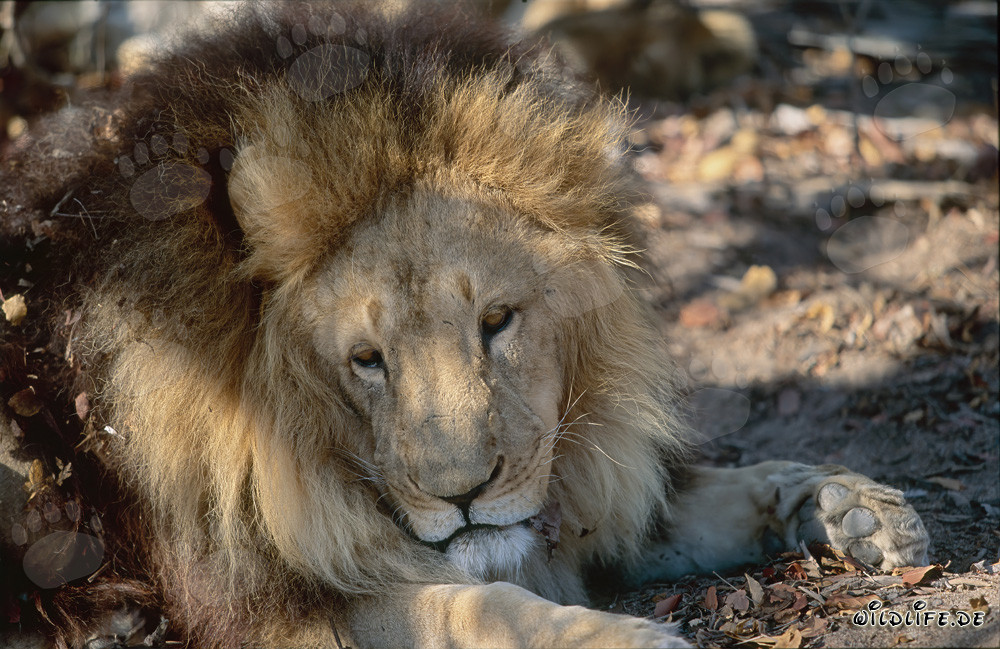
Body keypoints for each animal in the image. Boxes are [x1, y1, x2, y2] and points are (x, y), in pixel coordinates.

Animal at [0, 3, 929, 647]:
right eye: (366, 360)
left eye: (497, 320)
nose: (465, 496)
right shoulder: (273, 609)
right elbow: (480, 605)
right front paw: (624, 636)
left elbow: (702, 495)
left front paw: (846, 505)